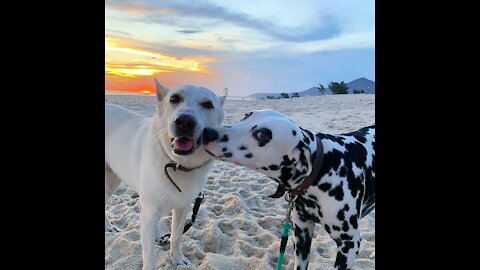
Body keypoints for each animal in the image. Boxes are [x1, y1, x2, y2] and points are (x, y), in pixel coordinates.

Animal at [104, 78, 227, 270]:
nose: (184, 122)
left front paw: (176, 258)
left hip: (113, 178)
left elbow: (176, 236)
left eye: (208, 104)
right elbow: (149, 256)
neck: (177, 164)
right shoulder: (148, 215)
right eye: (174, 99)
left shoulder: (183, 207)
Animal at [202, 109, 376, 270]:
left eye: (263, 134)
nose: (207, 132)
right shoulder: (302, 233)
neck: (325, 167)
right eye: (245, 116)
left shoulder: (349, 244)